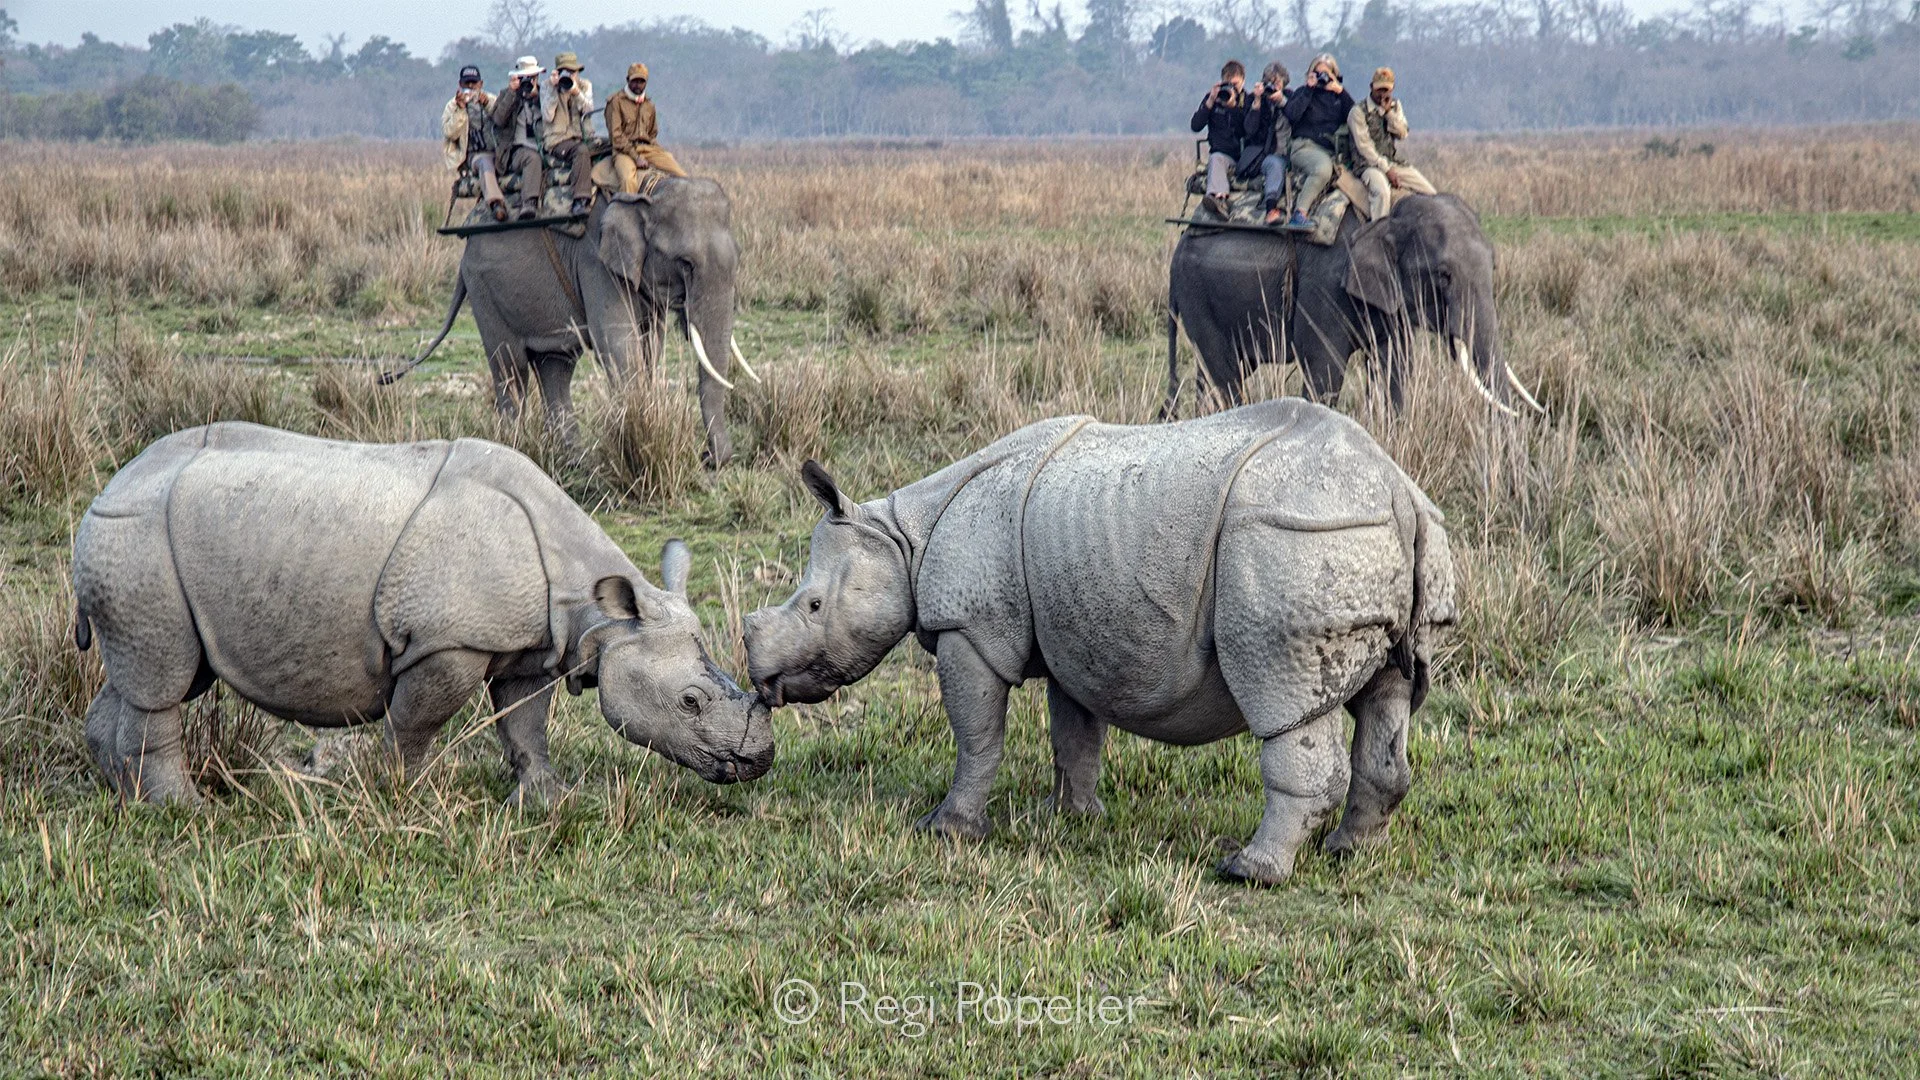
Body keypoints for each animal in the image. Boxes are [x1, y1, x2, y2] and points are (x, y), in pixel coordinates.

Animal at [72, 422, 774, 806]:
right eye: (690, 702)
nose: (759, 762)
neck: (594, 609)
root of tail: (108, 486)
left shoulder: (529, 643)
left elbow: (525, 723)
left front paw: (546, 800)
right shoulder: (447, 643)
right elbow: (417, 722)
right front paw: (404, 791)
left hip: (148, 548)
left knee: (159, 675)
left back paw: (128, 799)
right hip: (138, 538)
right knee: (164, 682)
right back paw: (187, 811)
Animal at [387, 178, 762, 467]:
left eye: (740, 257)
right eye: (685, 263)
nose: (707, 458)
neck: (643, 190)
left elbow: (650, 344)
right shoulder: (595, 260)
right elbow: (617, 344)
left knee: (556, 369)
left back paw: (574, 460)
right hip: (484, 291)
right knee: (511, 369)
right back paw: (515, 449)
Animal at [743, 400, 1456, 886]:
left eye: (812, 606)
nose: (761, 680)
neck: (902, 538)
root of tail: (1398, 491)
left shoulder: (970, 630)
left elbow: (977, 736)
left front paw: (946, 830)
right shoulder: (1074, 631)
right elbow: (1075, 735)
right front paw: (1072, 819)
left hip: (1296, 537)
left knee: (1285, 699)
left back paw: (1249, 872)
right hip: (1367, 533)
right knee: (1388, 697)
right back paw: (1348, 852)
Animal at [1164, 193, 1542, 418]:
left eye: (1493, 265)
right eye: (1444, 275)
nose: (1536, 415)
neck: (1384, 218)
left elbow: (1395, 366)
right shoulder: (1324, 285)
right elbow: (1325, 369)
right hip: (1198, 296)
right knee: (1225, 375)